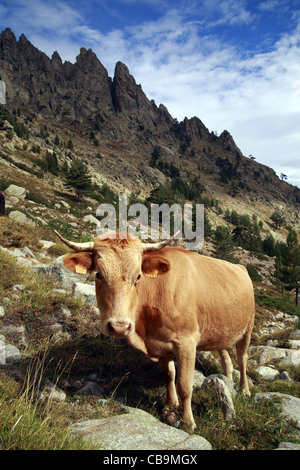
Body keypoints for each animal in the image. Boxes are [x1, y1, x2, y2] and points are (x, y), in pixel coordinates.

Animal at [55, 229, 253, 432]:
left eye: (138, 276)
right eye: (98, 274)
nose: (119, 327)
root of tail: (241, 267)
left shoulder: (186, 343)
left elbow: (184, 385)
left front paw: (187, 423)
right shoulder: (161, 343)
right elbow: (169, 375)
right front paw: (169, 406)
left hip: (248, 327)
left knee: (242, 358)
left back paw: (244, 389)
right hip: (220, 331)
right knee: (227, 359)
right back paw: (227, 380)